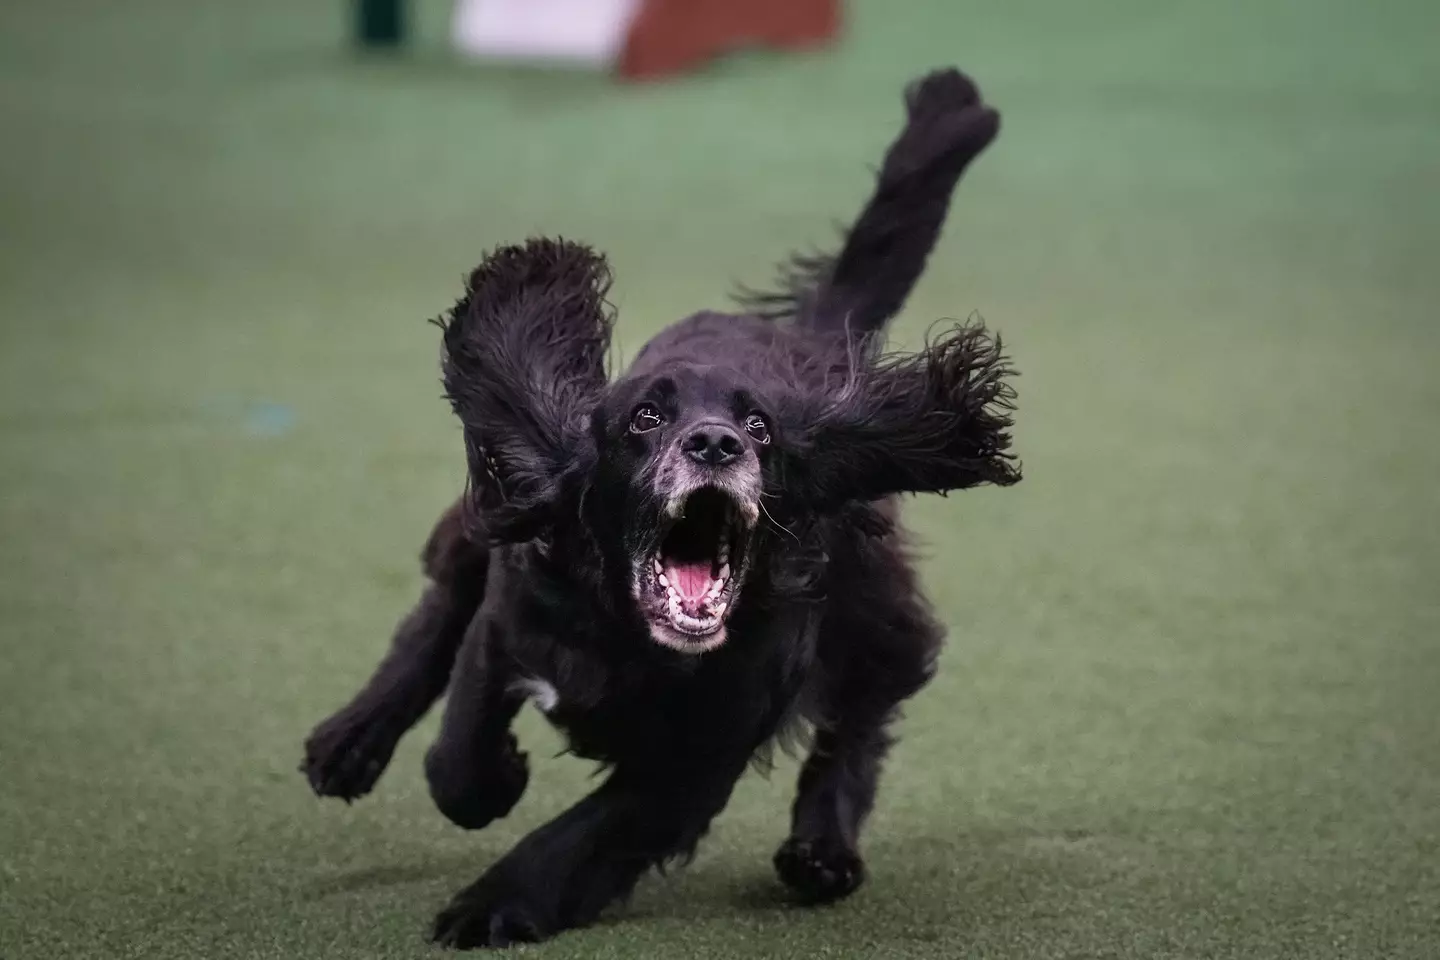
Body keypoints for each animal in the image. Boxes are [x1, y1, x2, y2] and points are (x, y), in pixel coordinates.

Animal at [300, 65, 1025, 944]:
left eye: (760, 426)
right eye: (647, 417)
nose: (715, 443)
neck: (628, 634)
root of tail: (815, 341)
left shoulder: (701, 751)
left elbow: (583, 832)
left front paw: (490, 905)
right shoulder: (509, 618)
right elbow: (457, 757)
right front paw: (496, 779)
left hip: (868, 591)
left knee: (865, 709)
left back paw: (822, 851)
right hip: (500, 505)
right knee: (438, 607)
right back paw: (350, 742)